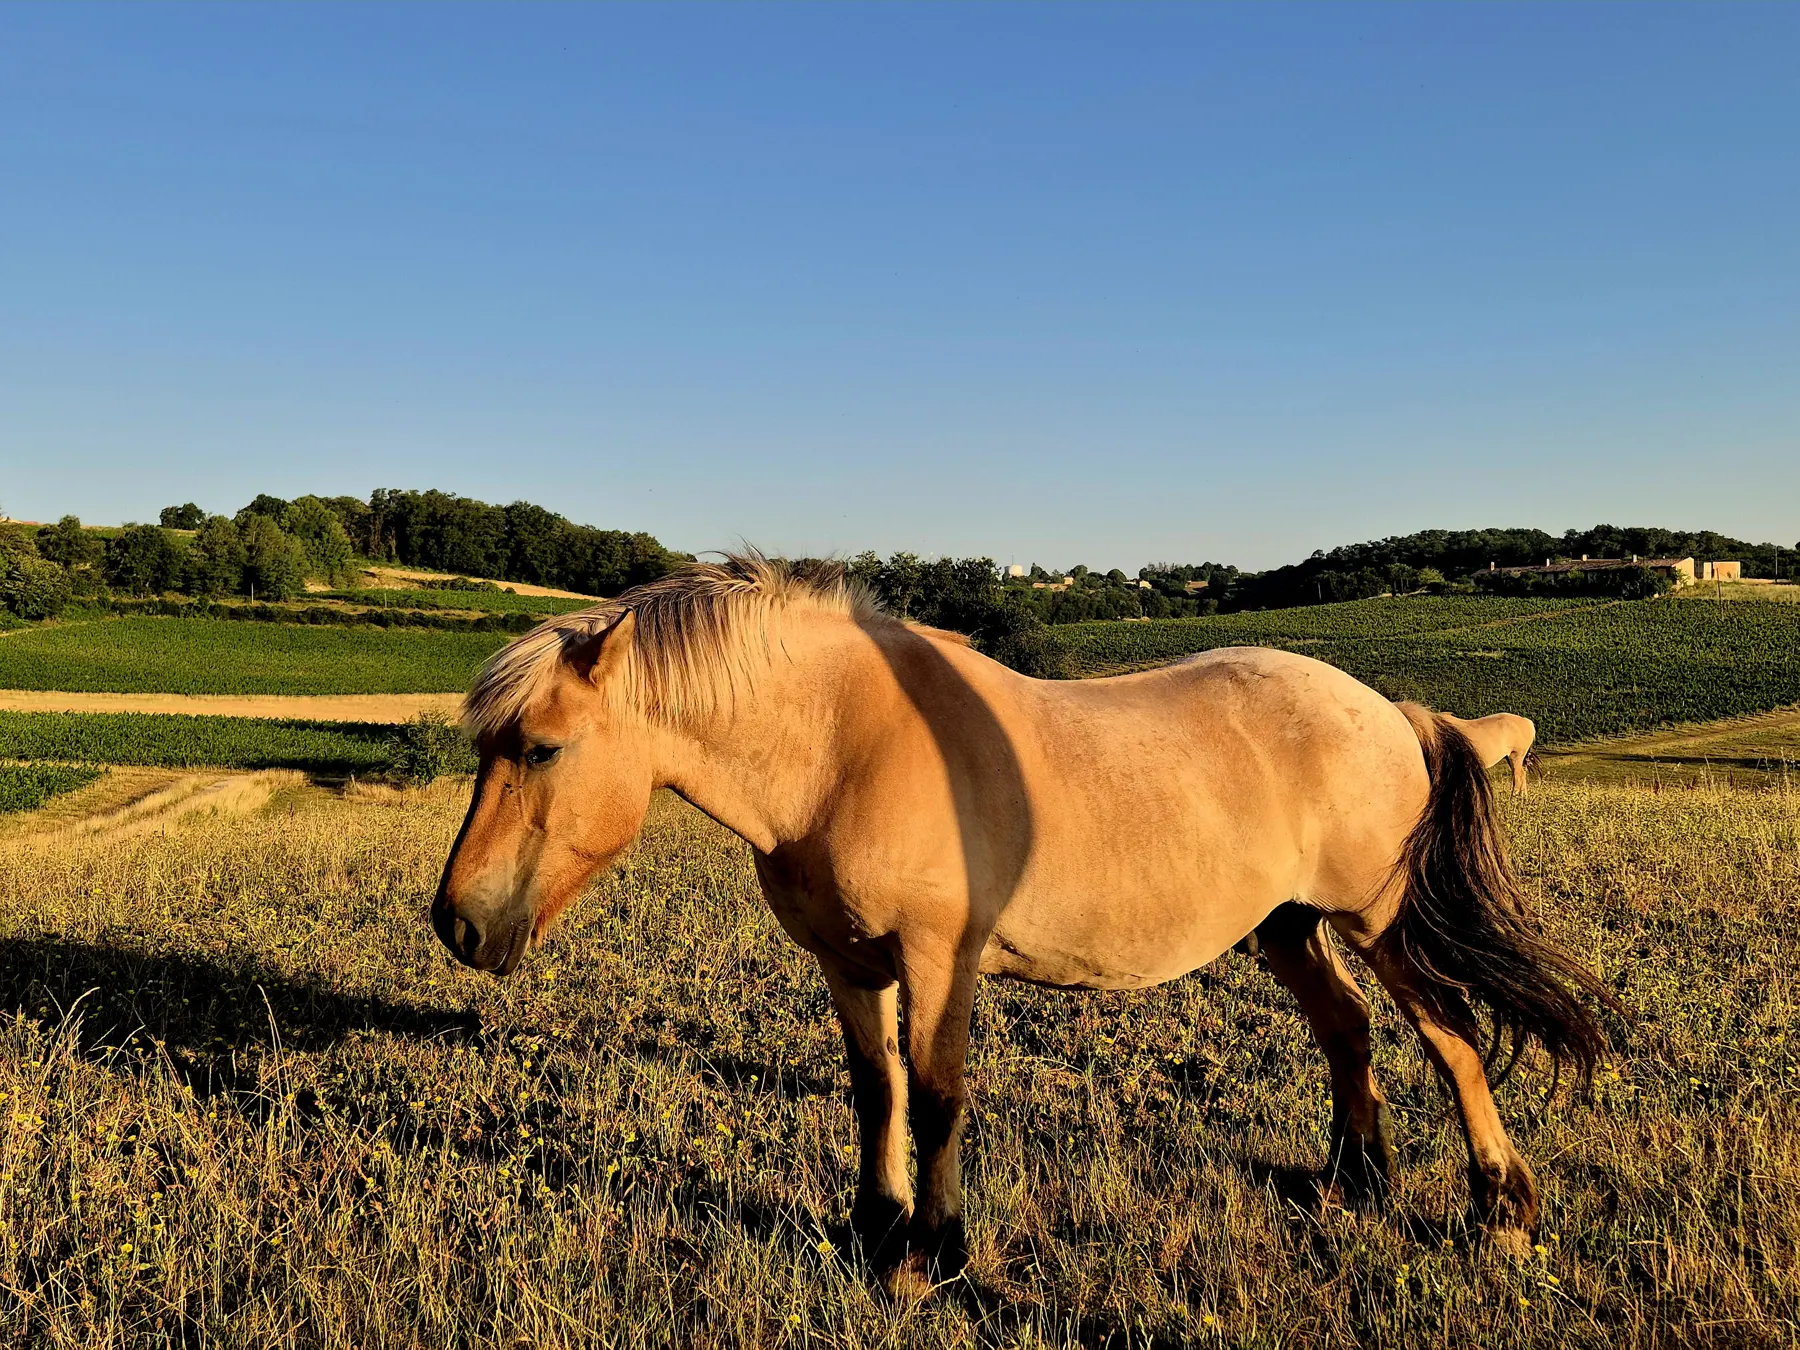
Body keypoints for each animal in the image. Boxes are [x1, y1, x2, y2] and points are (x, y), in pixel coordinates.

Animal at [433, 556, 1613, 1290]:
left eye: (538, 747)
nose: (457, 924)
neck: (849, 744)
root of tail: (1389, 711)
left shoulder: (937, 960)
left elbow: (938, 1097)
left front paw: (931, 1256)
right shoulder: (849, 963)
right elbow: (876, 1093)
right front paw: (871, 1230)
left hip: (1379, 920)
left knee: (1453, 1040)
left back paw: (1503, 1211)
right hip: (1288, 927)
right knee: (1350, 1032)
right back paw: (1351, 1184)